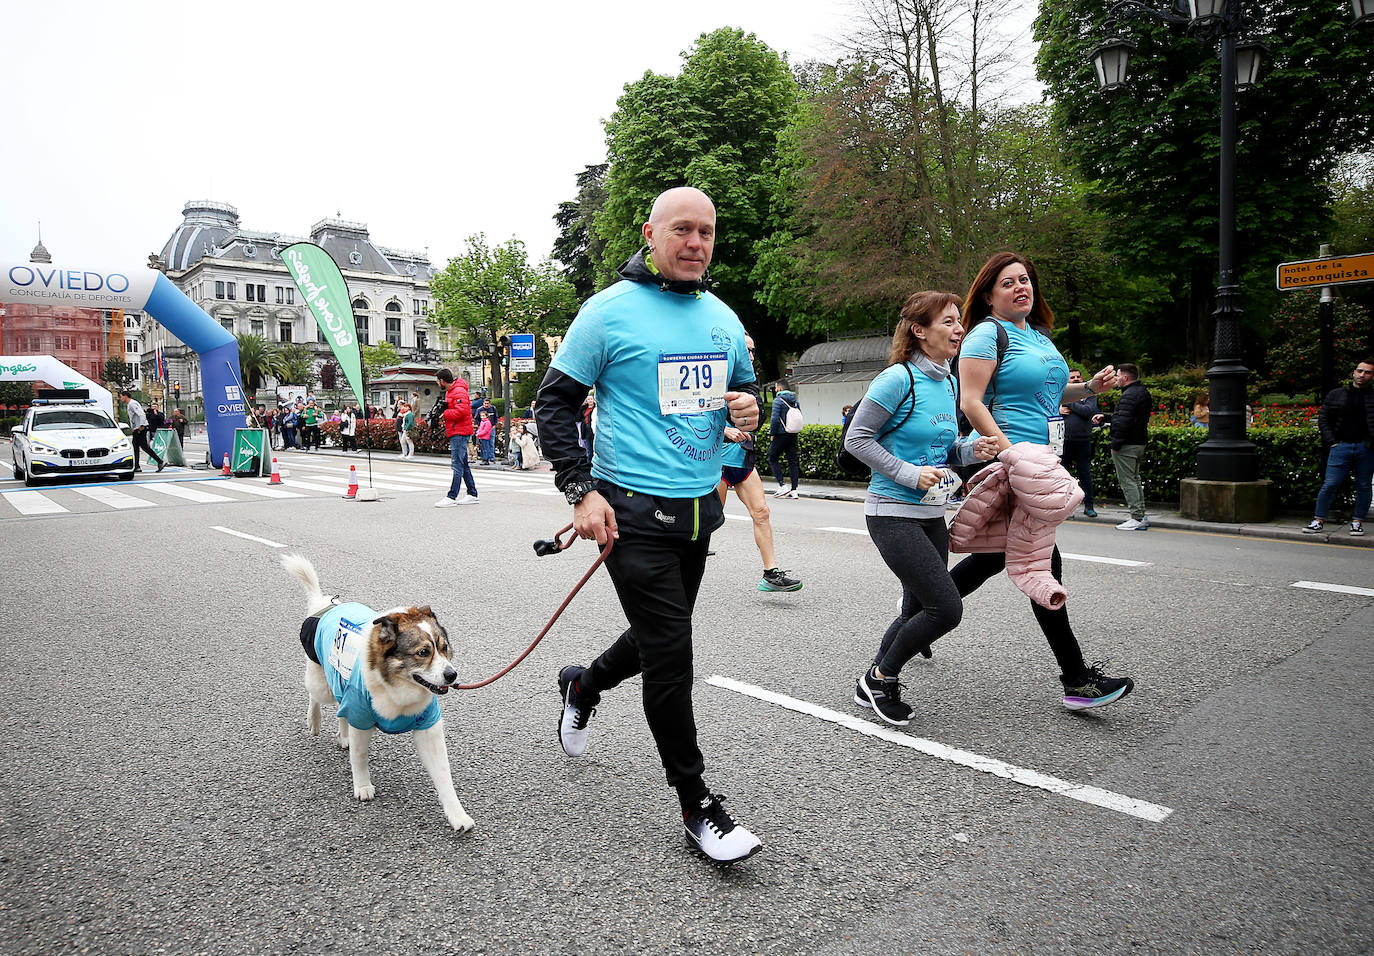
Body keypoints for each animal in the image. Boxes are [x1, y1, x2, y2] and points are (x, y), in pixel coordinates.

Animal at [281, 557, 475, 835]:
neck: (400, 688)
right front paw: (362, 785)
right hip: (322, 682)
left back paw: (343, 735)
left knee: (341, 709)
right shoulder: (360, 714)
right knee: (316, 695)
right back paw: (314, 720)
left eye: (444, 648)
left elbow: (443, 774)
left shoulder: (428, 725)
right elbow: (360, 757)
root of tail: (325, 604)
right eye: (423, 652)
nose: (452, 675)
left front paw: (456, 814)